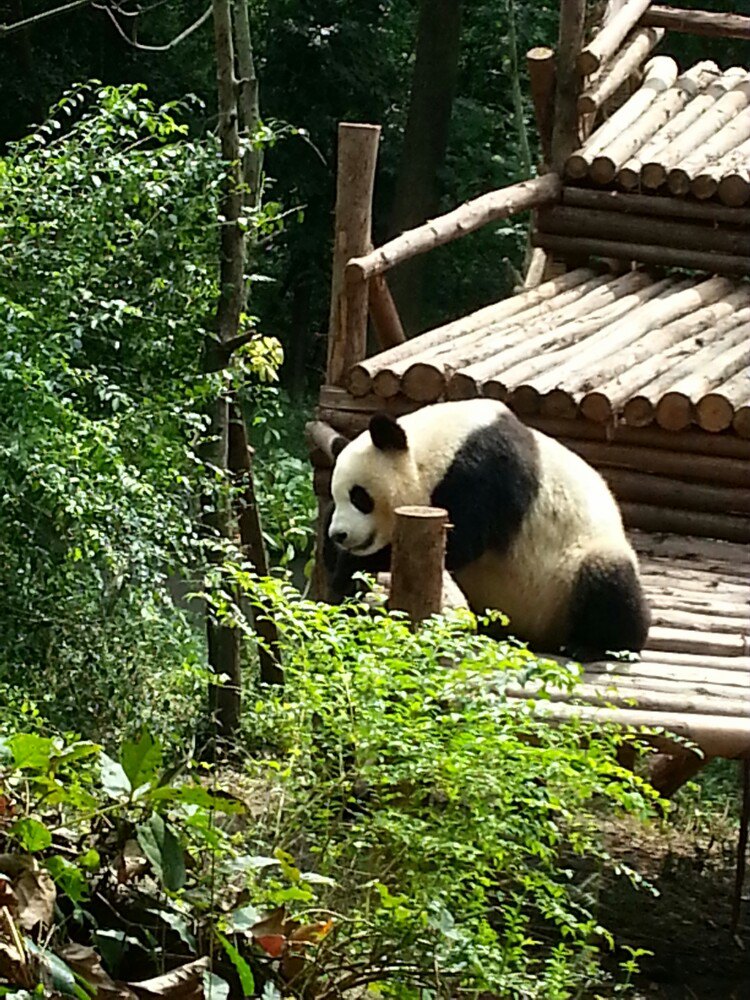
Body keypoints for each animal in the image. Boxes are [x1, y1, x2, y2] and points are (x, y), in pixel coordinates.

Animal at [328, 398, 652, 664]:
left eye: (359, 497)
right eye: (336, 496)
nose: (338, 535)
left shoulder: (486, 472)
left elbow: (461, 543)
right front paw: (343, 580)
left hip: (573, 568)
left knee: (608, 581)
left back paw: (597, 646)